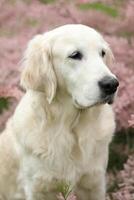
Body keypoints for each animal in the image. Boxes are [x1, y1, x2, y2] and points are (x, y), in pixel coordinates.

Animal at [0, 24, 118, 199]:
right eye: (75, 55)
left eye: (102, 53)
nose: (112, 84)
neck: (70, 128)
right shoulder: (38, 188)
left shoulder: (94, 182)